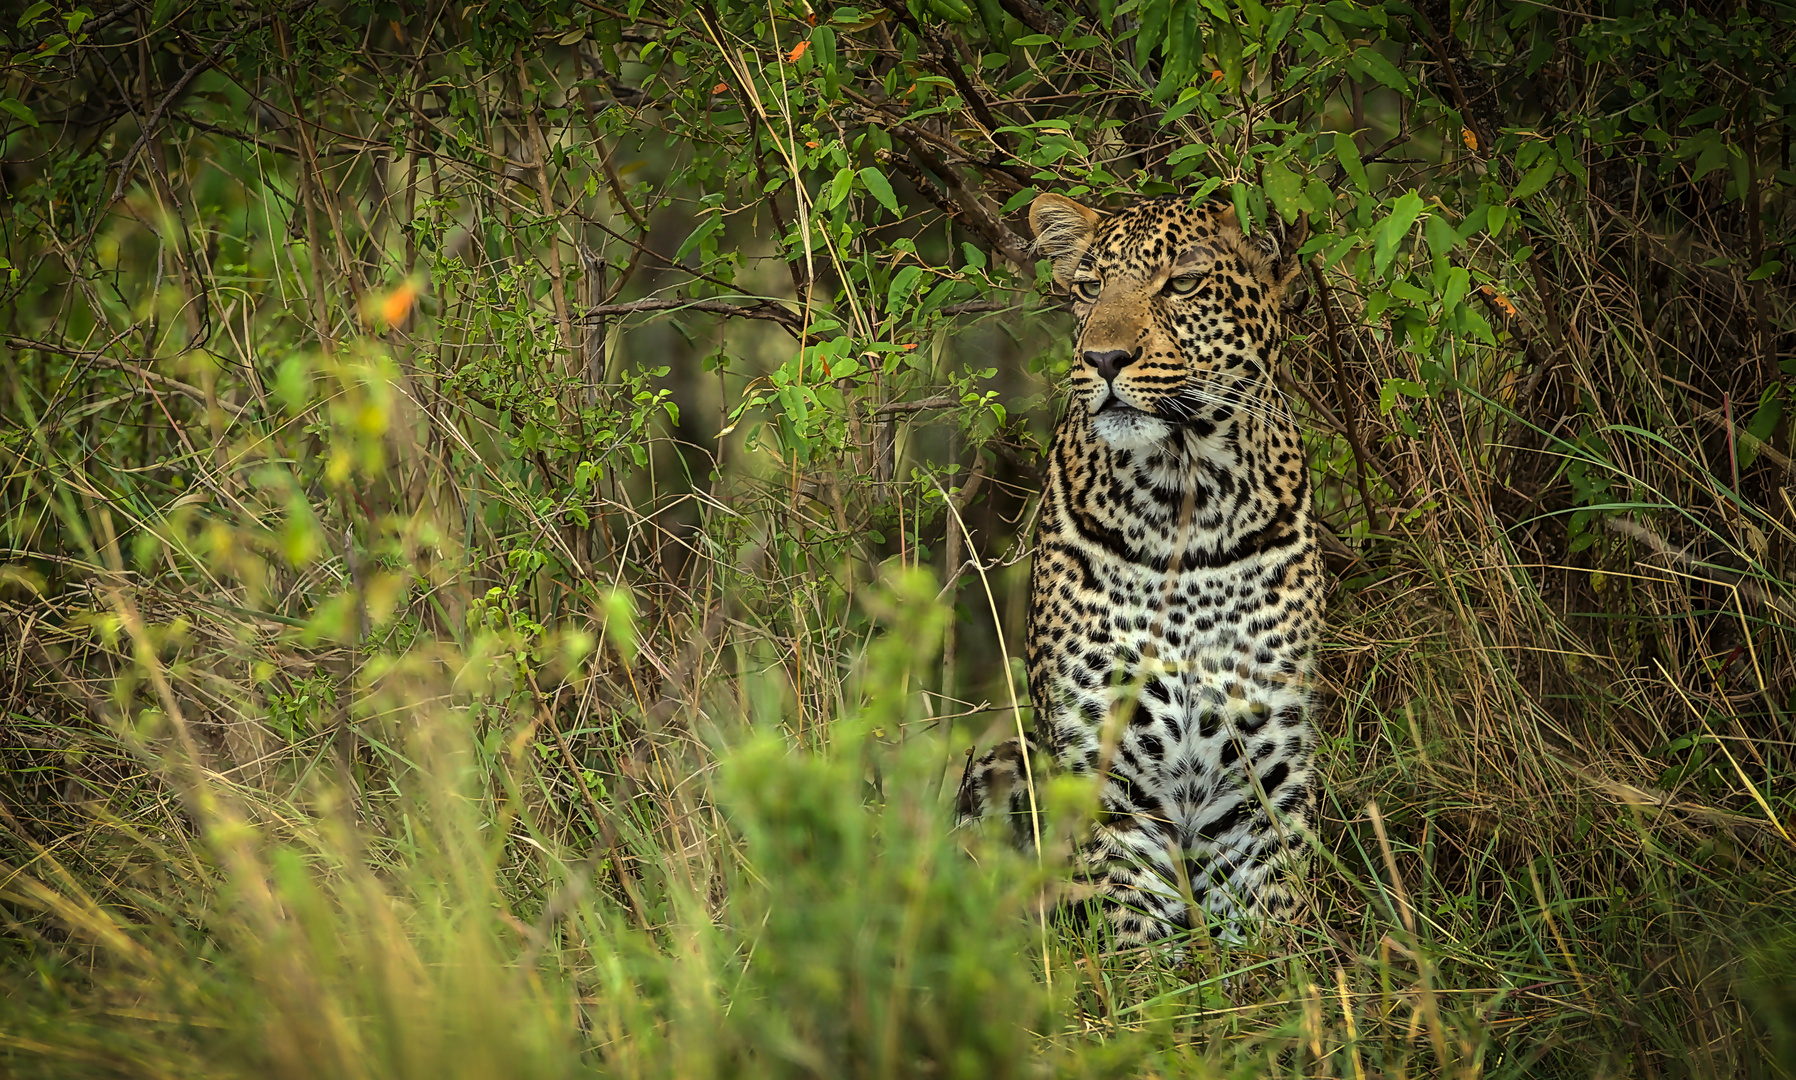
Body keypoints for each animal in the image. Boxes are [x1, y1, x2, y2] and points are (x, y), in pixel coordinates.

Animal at [962, 189, 1329, 948]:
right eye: (1089, 288)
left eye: (1182, 284)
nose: (1103, 357)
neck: (1186, 494)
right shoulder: (1106, 777)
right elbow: (1132, 934)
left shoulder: (1267, 780)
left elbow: (1271, 940)